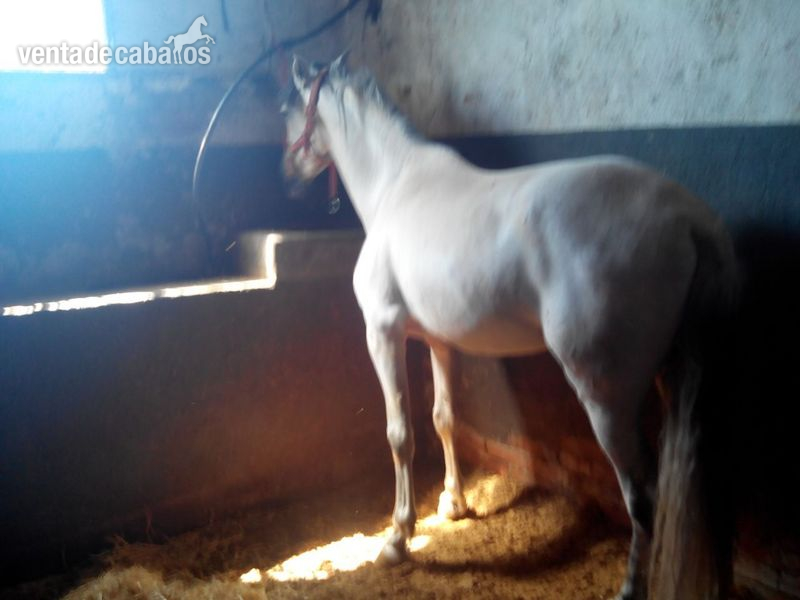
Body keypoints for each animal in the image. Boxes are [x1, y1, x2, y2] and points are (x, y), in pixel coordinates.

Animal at [281, 53, 739, 600]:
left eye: (287, 109)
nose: (286, 174)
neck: (397, 187)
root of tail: (689, 218)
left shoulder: (384, 333)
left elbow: (401, 433)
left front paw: (397, 538)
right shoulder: (439, 341)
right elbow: (444, 418)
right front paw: (454, 505)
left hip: (605, 394)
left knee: (642, 494)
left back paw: (630, 587)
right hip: (671, 378)